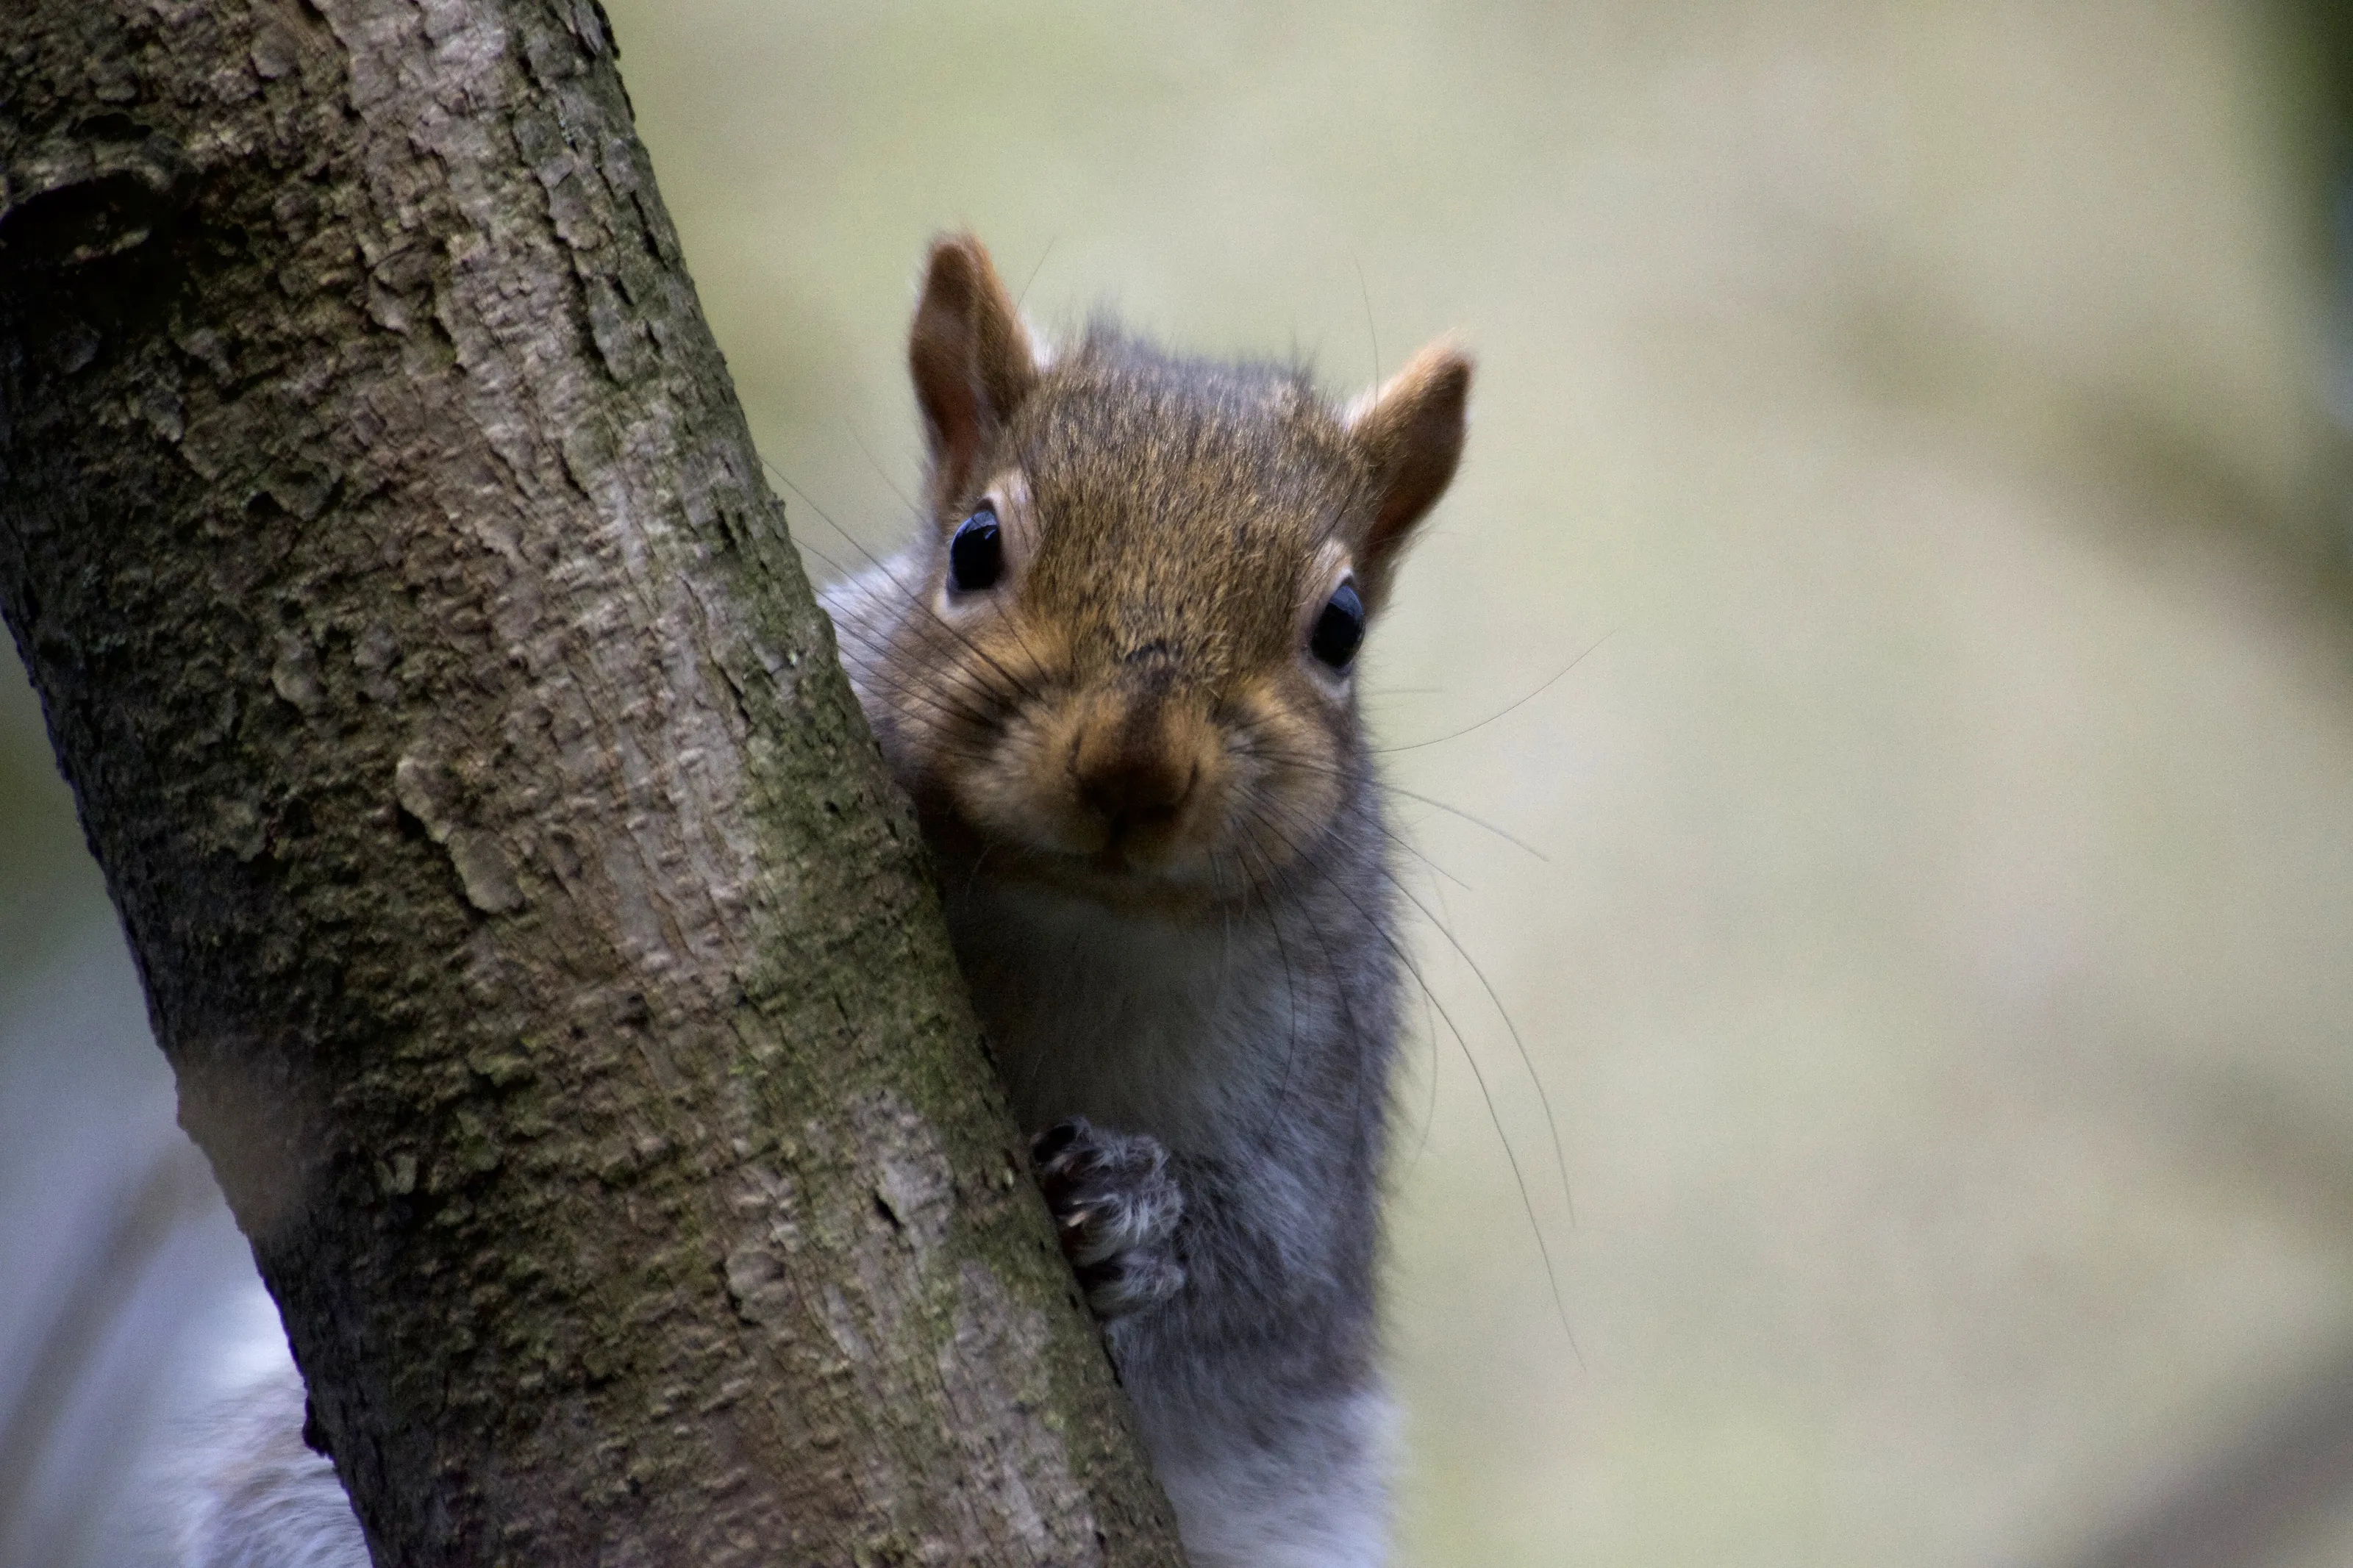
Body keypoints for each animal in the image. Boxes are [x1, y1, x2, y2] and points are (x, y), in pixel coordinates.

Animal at [159, 233, 1470, 1568]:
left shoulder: (1320, 1076)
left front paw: (1133, 1211)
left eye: (1341, 626)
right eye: (975, 545)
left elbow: (1276, 1279)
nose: (1135, 766)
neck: (1070, 916)